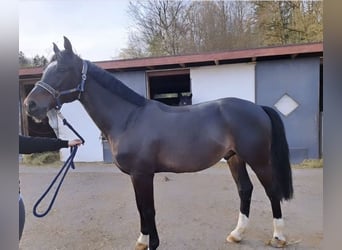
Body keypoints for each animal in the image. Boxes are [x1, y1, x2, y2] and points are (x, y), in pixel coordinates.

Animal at [24, 37, 292, 250]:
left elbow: (147, 209)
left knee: (272, 191)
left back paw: (278, 237)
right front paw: (144, 241)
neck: (128, 118)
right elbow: (142, 208)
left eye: (62, 69)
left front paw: (150, 243)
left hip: (258, 159)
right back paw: (236, 234)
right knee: (245, 190)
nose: (30, 105)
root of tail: (257, 107)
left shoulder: (142, 174)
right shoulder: (138, 175)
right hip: (234, 157)